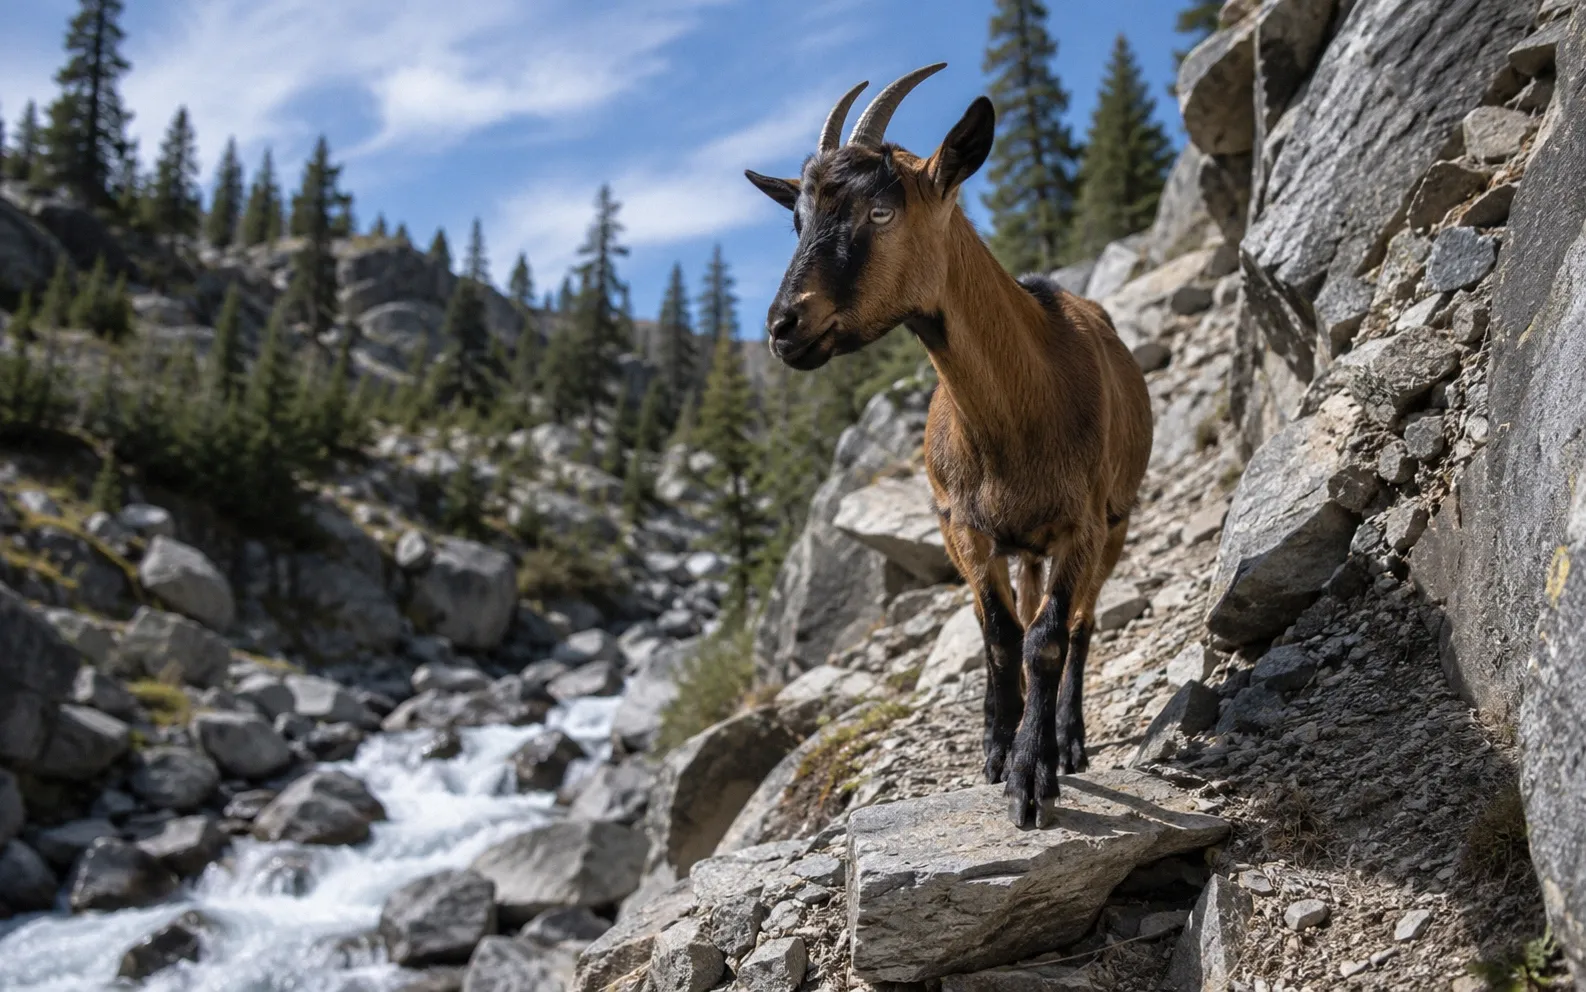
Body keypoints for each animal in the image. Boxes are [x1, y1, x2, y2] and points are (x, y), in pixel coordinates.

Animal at [746, 63, 1153, 827]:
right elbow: (998, 633)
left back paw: (1067, 739)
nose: (785, 326)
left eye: (881, 212)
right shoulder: (962, 526)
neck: (1021, 412)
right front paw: (1002, 750)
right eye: (798, 219)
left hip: (1112, 523)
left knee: (1079, 624)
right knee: (1006, 615)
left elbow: (1048, 639)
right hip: (1002, 541)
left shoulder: (1084, 526)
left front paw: (1034, 774)